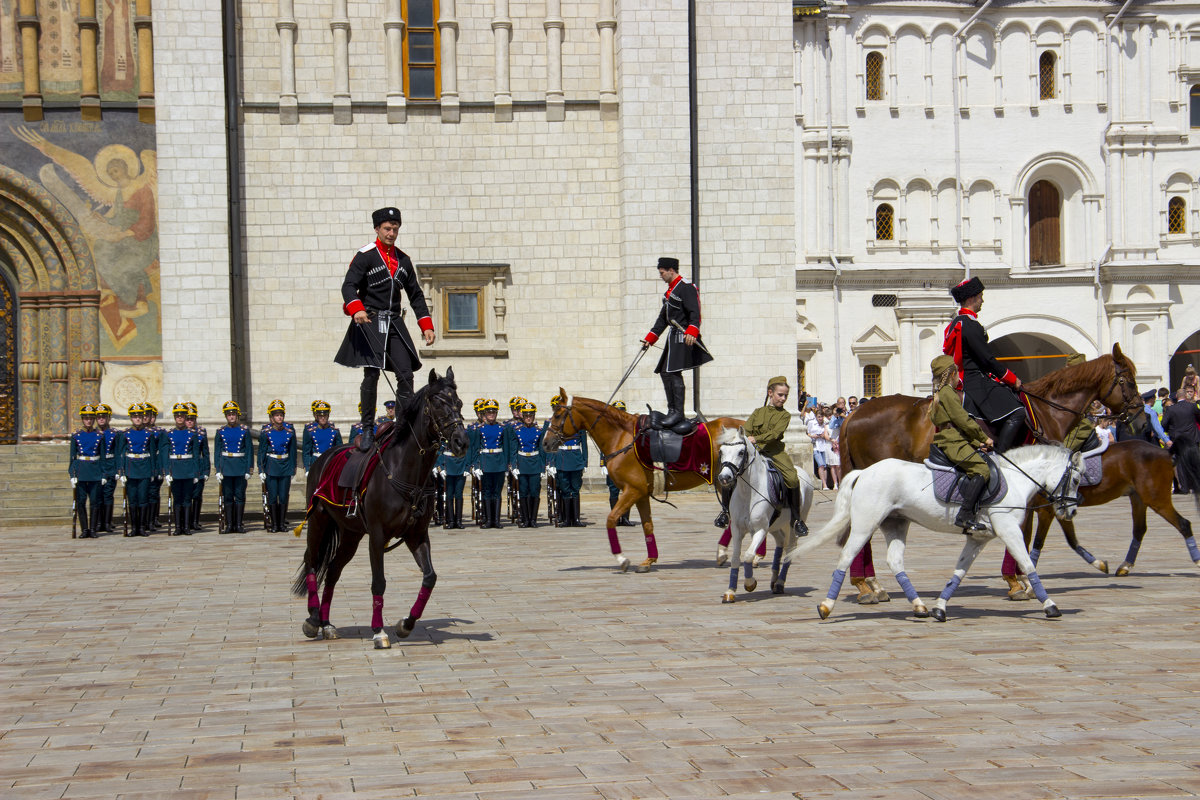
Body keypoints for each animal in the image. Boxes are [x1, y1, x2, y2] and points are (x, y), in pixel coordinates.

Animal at [290, 369, 468, 652]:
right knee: (312, 561)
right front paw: (378, 631)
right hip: (318, 521)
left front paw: (406, 624)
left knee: (333, 569)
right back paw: (313, 618)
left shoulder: (417, 535)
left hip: (350, 534)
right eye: (439, 403)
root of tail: (324, 456)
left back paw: (327, 624)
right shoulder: (376, 535)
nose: (462, 442)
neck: (406, 470)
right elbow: (379, 582)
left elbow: (430, 577)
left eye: (459, 403)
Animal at [542, 391, 739, 573]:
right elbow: (647, 525)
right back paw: (724, 553)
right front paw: (649, 560)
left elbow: (611, 519)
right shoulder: (641, 494)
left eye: (558, 415)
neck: (621, 436)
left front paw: (622, 559)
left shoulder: (633, 491)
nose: (545, 443)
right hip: (724, 482)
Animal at [715, 429, 811, 604]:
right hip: (775, 526)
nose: (724, 478)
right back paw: (774, 579)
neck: (747, 491)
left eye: (741, 452)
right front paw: (730, 591)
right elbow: (736, 558)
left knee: (790, 550)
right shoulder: (737, 529)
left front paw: (750, 583)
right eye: (721, 451)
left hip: (794, 523)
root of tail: (801, 471)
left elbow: (747, 555)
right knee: (780, 542)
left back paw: (780, 583)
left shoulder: (760, 530)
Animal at [787, 448, 1089, 623]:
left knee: (895, 561)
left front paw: (940, 608)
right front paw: (1050, 605)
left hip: (895, 524)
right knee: (846, 557)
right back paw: (826, 607)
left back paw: (919, 606)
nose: (1071, 511)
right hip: (865, 524)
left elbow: (959, 572)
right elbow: (1028, 565)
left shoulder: (977, 538)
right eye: (1076, 479)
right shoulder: (1008, 530)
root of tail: (863, 472)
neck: (1014, 480)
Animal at [835, 343, 1142, 594]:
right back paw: (866, 585)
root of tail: (855, 413)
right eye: (1127, 380)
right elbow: (1026, 531)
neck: (1047, 411)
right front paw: (1020, 579)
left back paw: (868, 583)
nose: (1138, 416)